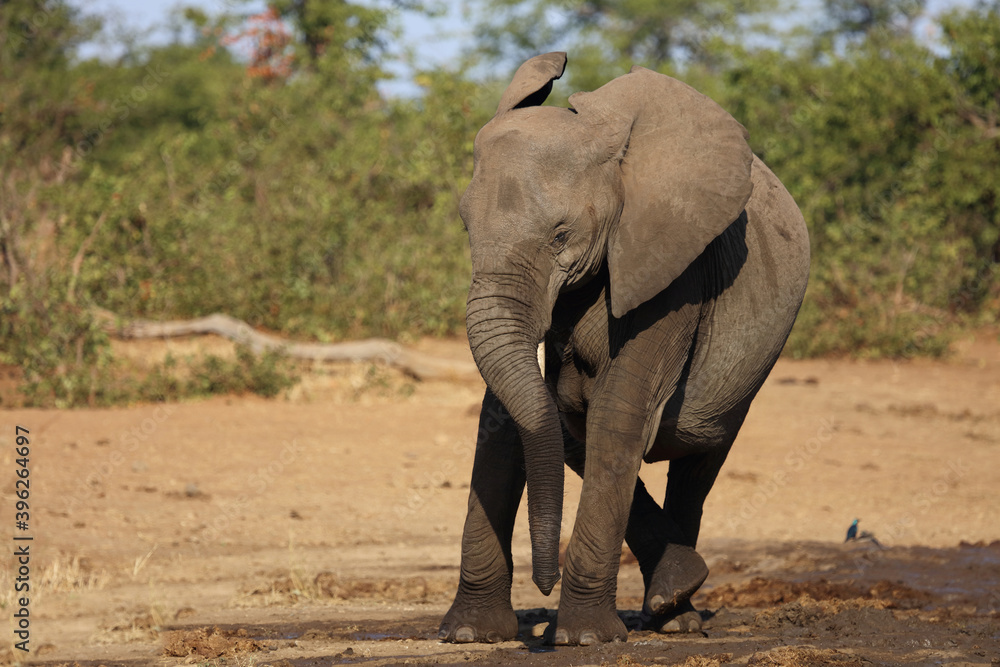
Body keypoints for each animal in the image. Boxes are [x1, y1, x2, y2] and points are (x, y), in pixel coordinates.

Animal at [439, 52, 810, 646]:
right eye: (466, 227)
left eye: (561, 235)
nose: (543, 585)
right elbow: (503, 420)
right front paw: (471, 633)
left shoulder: (673, 264)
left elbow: (617, 412)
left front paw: (584, 638)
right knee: (573, 427)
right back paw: (674, 600)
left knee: (695, 465)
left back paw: (675, 609)